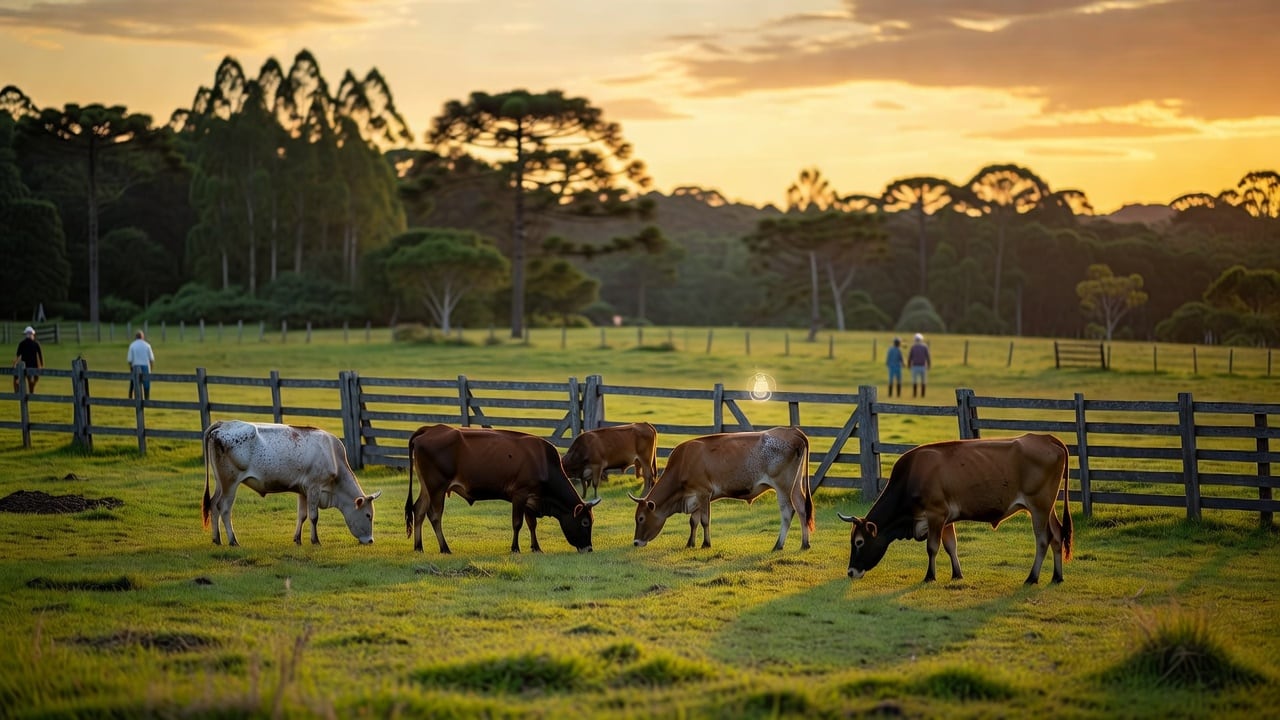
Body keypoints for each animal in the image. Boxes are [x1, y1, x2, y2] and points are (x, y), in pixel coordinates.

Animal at [201, 420, 381, 546]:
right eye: (368, 515)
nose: (370, 540)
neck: (333, 457)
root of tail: (223, 424)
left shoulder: (303, 491)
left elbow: (302, 515)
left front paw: (297, 539)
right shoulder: (314, 488)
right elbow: (313, 517)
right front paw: (315, 540)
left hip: (220, 483)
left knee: (213, 504)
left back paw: (217, 539)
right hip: (230, 483)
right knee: (224, 508)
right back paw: (233, 540)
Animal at [405, 424, 602, 554]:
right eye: (585, 522)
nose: (589, 548)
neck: (543, 463)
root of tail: (430, 429)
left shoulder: (531, 498)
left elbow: (532, 524)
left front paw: (536, 547)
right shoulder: (520, 494)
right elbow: (518, 523)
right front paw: (515, 548)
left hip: (427, 487)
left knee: (419, 510)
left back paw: (419, 547)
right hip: (437, 487)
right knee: (434, 516)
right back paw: (444, 548)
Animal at [630, 426, 813, 551]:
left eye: (641, 518)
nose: (636, 542)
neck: (683, 464)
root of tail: (791, 431)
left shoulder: (704, 493)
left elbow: (704, 520)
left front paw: (706, 543)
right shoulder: (695, 497)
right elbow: (693, 521)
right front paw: (690, 543)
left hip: (782, 486)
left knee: (788, 512)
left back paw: (778, 545)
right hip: (796, 485)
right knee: (802, 508)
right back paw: (805, 543)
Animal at [839, 433, 1073, 584]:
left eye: (859, 542)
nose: (851, 572)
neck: (912, 477)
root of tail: (1048, 438)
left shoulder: (936, 514)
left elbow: (932, 547)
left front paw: (930, 576)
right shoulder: (946, 519)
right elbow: (951, 546)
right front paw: (957, 574)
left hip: (1039, 506)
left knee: (1043, 540)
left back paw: (1032, 578)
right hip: (1048, 507)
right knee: (1056, 535)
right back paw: (1057, 577)